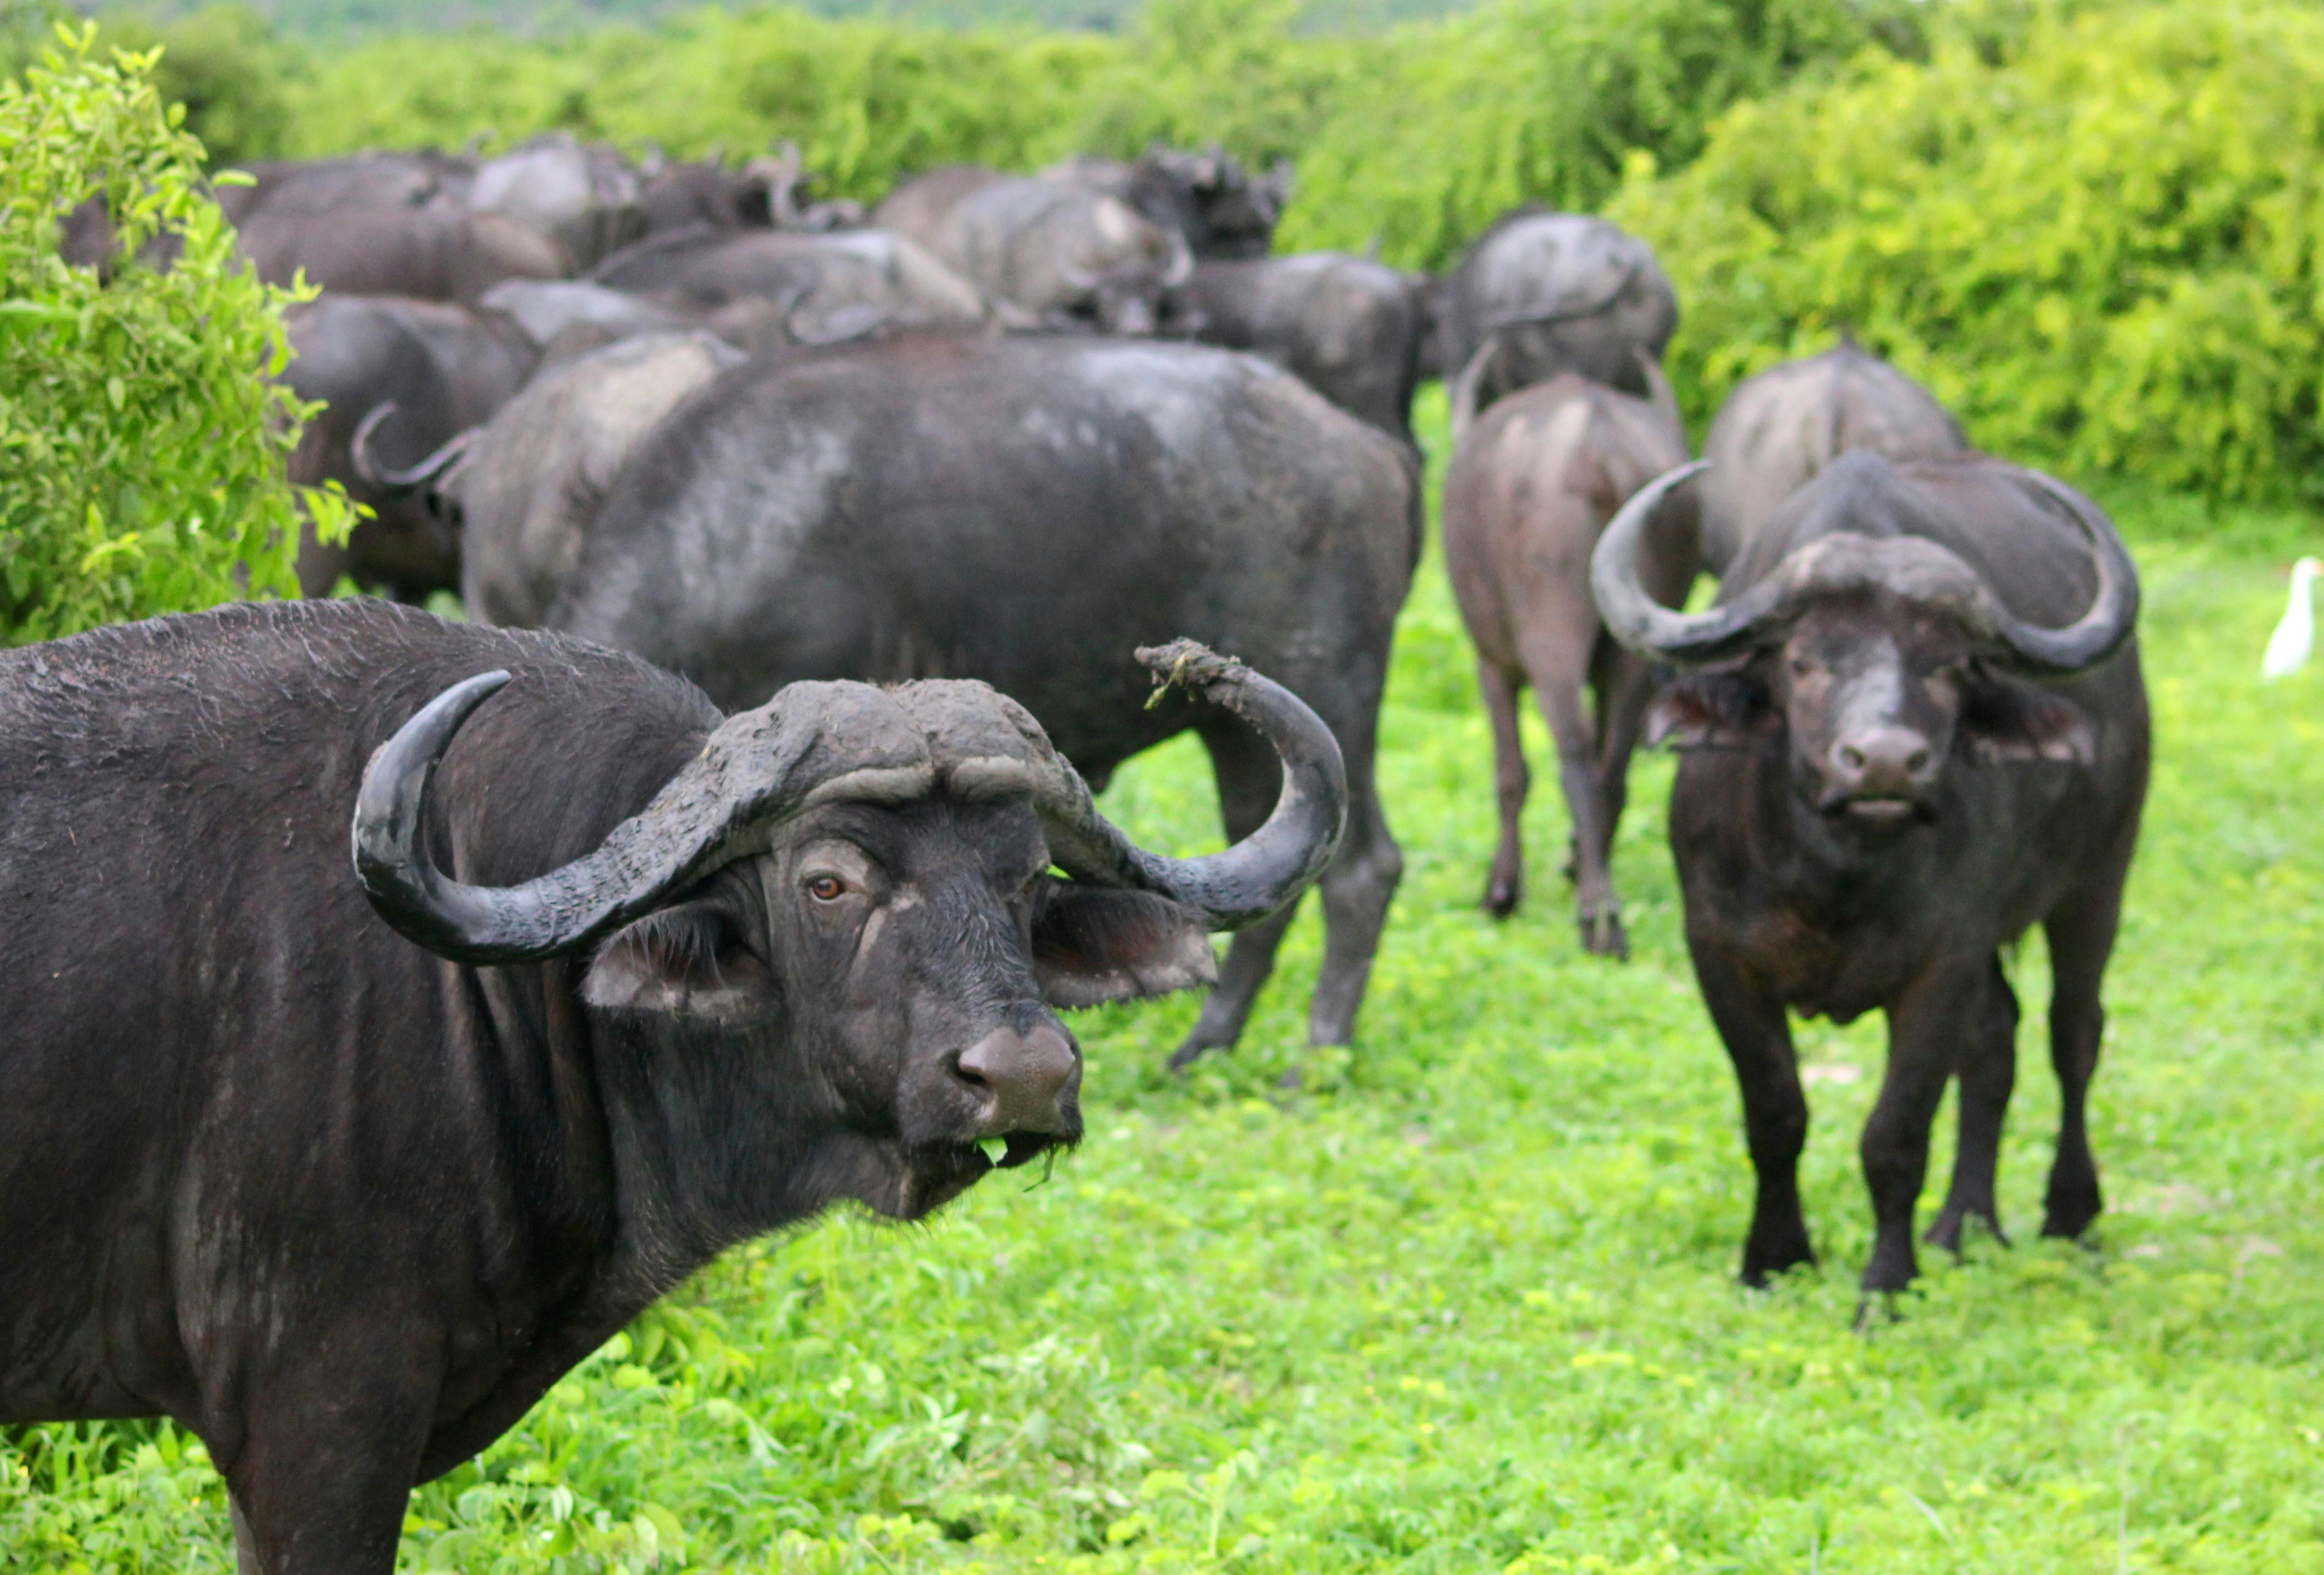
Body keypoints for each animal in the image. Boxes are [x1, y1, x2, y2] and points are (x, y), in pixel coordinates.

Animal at [518, 334, 1417, 1063]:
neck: (726, 534)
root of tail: (1363, 448)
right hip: (1235, 732)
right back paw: (1207, 1044)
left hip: (1333, 690)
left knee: (1360, 870)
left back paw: (1316, 1055)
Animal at [1444, 370, 1694, 954]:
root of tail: (1597, 449)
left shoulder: (1493, 665)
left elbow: (1511, 774)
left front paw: (1501, 892)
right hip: (1633, 643)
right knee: (1613, 765)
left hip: (1549, 636)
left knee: (1574, 754)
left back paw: (1598, 919)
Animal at [1592, 451, 2147, 1303]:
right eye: (1801, 661)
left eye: (1949, 666)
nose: (1885, 762)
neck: (1833, 877)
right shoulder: (1719, 955)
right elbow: (1774, 1112)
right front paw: (1772, 1258)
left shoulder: (1941, 964)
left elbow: (1894, 1135)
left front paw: (1884, 1287)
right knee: (1996, 1040)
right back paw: (1963, 1224)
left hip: (2097, 882)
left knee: (2072, 1033)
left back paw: (2069, 1216)